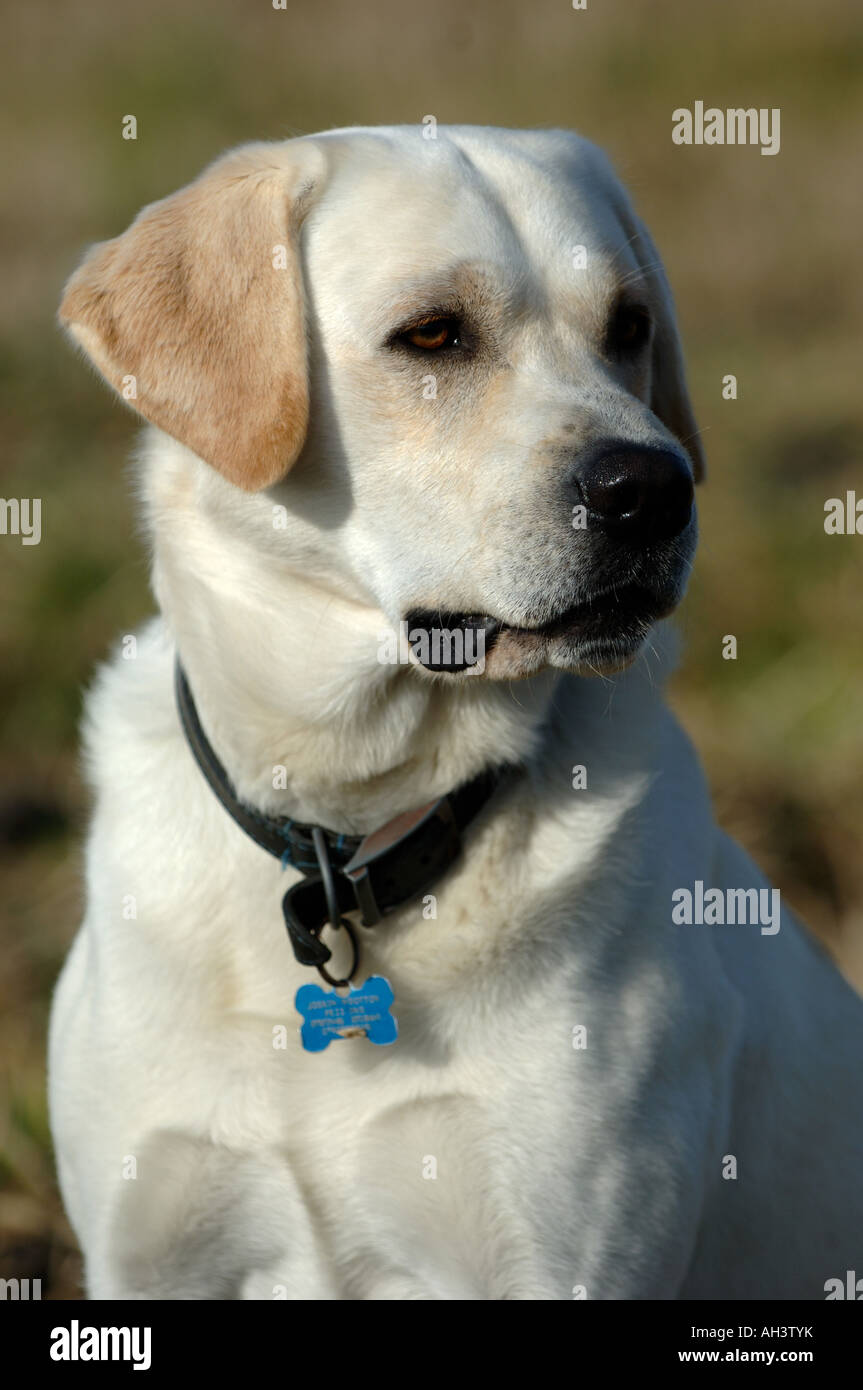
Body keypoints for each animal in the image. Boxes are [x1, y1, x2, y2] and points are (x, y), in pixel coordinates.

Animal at [50, 125, 856, 1295]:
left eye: (628, 327)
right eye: (432, 334)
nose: (654, 490)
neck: (349, 818)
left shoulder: (558, 1260)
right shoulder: (148, 1252)